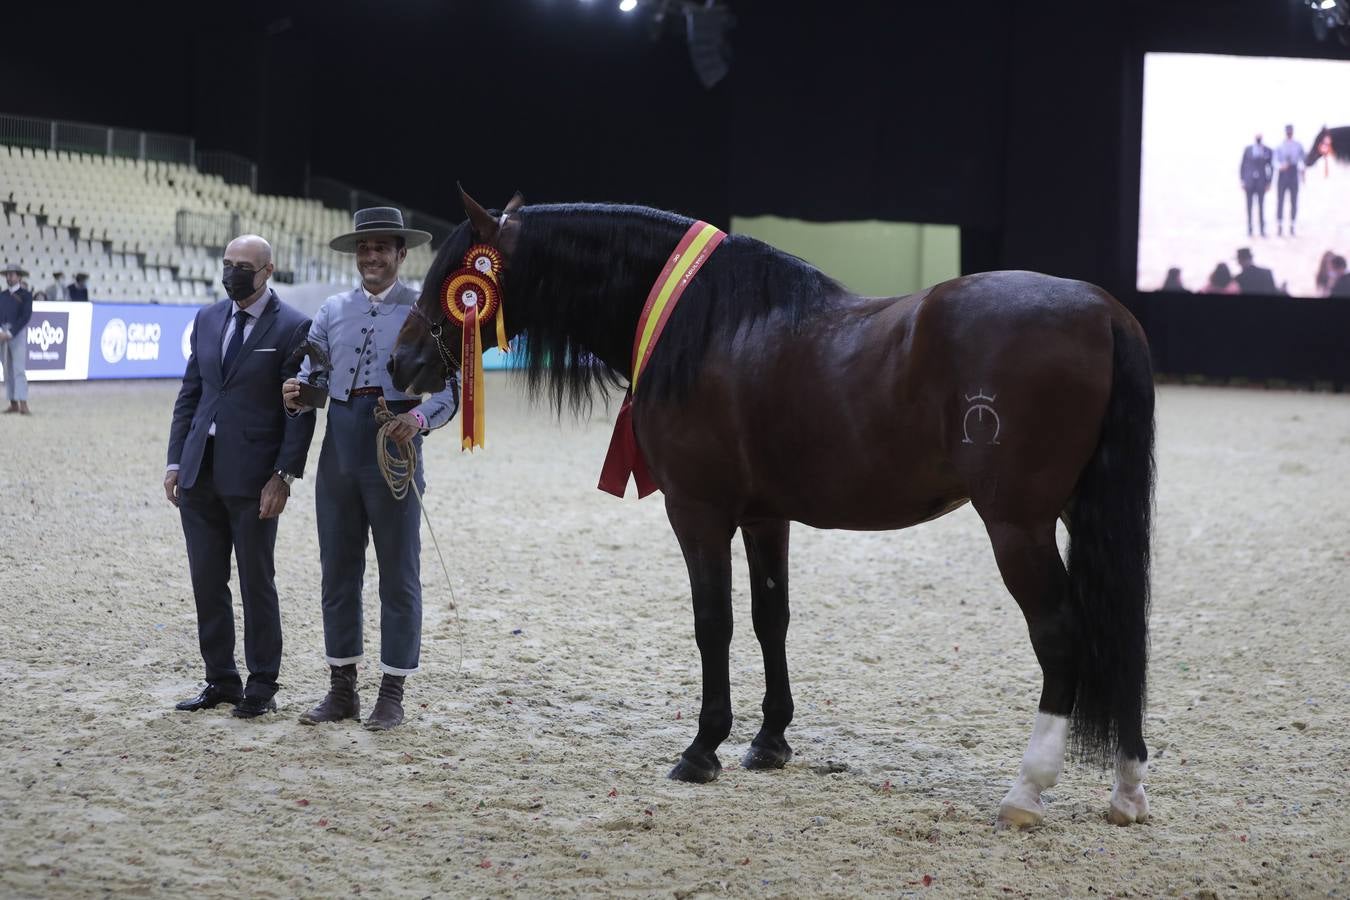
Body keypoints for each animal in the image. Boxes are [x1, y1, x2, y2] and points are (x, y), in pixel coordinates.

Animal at [388, 191, 1150, 831]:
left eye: (458, 270)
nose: (399, 365)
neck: (704, 327)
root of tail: (1103, 310)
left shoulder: (699, 513)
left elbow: (714, 625)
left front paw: (702, 749)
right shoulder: (764, 517)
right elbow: (769, 618)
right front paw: (770, 740)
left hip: (1017, 527)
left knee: (1063, 636)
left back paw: (1027, 791)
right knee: (1117, 630)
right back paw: (1127, 791)